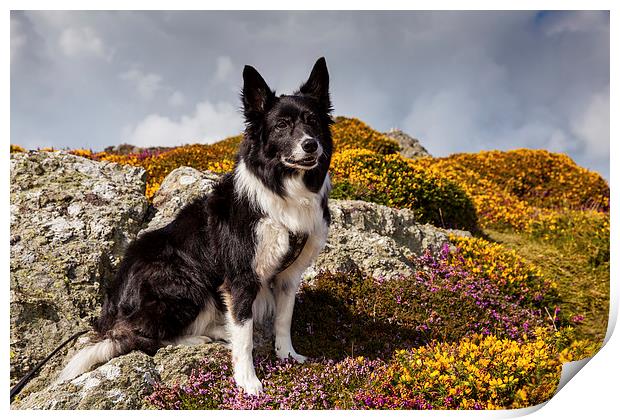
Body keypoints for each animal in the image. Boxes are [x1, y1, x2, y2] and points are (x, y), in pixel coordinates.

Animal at [55, 56, 332, 394]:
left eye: (313, 122)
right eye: (281, 125)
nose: (311, 145)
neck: (283, 191)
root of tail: (112, 312)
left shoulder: (289, 277)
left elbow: (283, 320)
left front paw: (288, 356)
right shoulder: (240, 278)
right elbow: (244, 337)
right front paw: (248, 382)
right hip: (184, 281)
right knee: (142, 338)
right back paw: (201, 336)